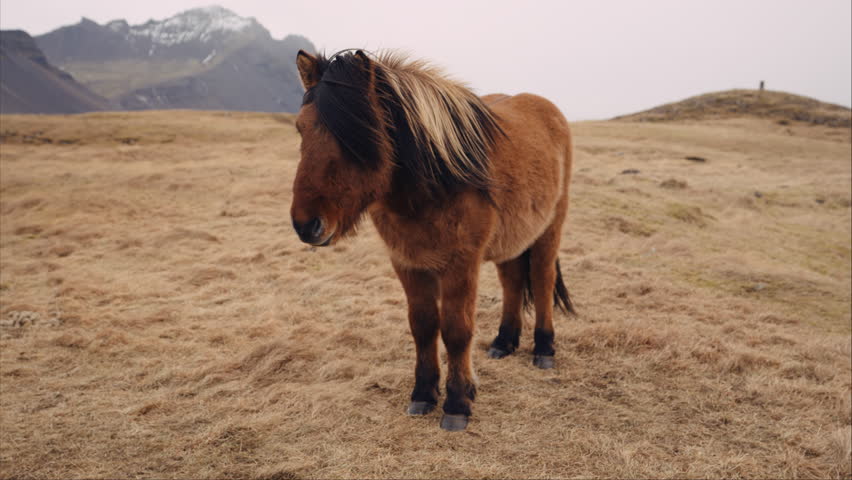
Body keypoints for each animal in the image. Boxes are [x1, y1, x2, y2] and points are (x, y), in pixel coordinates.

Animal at [290, 49, 575, 431]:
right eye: (300, 127)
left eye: (360, 133)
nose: (306, 225)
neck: (434, 184)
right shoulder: (407, 263)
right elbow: (423, 327)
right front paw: (424, 393)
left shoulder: (461, 264)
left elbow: (456, 330)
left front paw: (458, 403)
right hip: (511, 240)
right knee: (513, 282)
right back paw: (504, 342)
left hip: (549, 229)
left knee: (542, 281)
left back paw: (544, 349)